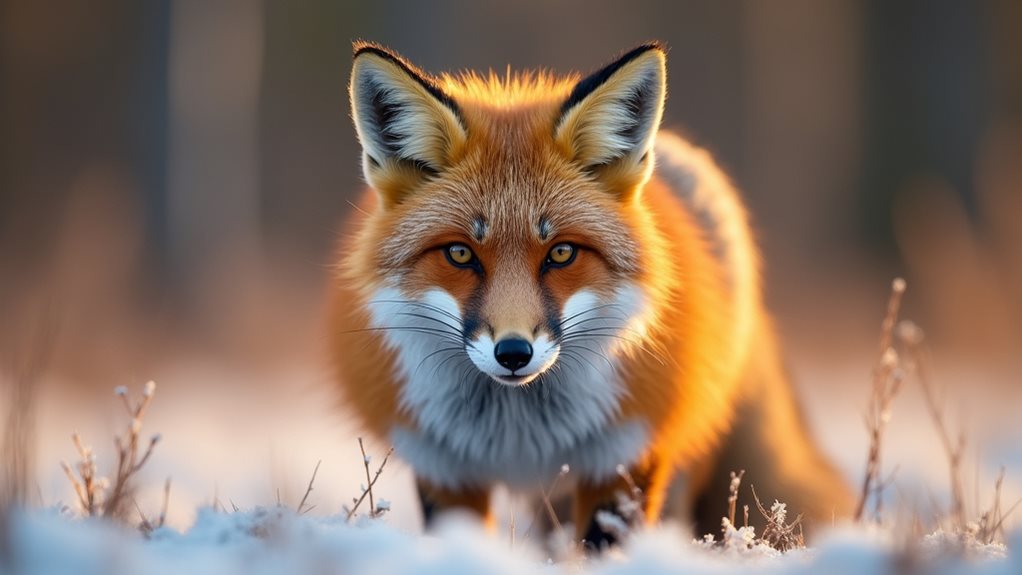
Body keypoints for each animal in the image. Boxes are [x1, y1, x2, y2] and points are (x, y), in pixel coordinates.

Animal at [330, 41, 852, 546]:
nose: (513, 353)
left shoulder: (625, 456)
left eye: (561, 253)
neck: (518, 430)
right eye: (460, 254)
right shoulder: (444, 468)